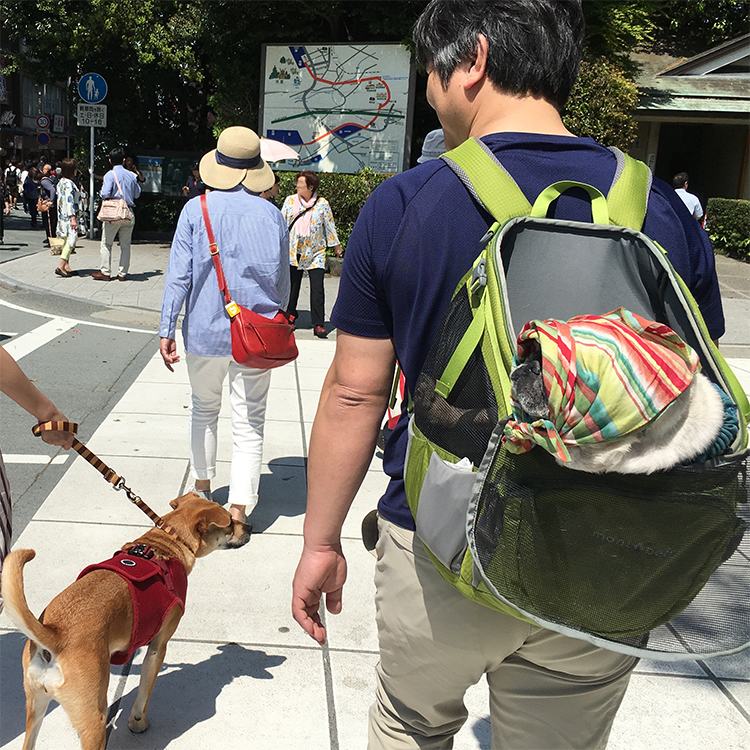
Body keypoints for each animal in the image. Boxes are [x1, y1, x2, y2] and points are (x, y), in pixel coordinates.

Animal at [0, 494, 253, 750]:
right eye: (230, 521)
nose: (250, 527)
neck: (168, 543)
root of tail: (55, 635)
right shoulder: (158, 647)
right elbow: (144, 694)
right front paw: (138, 723)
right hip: (93, 720)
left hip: (35, 706)